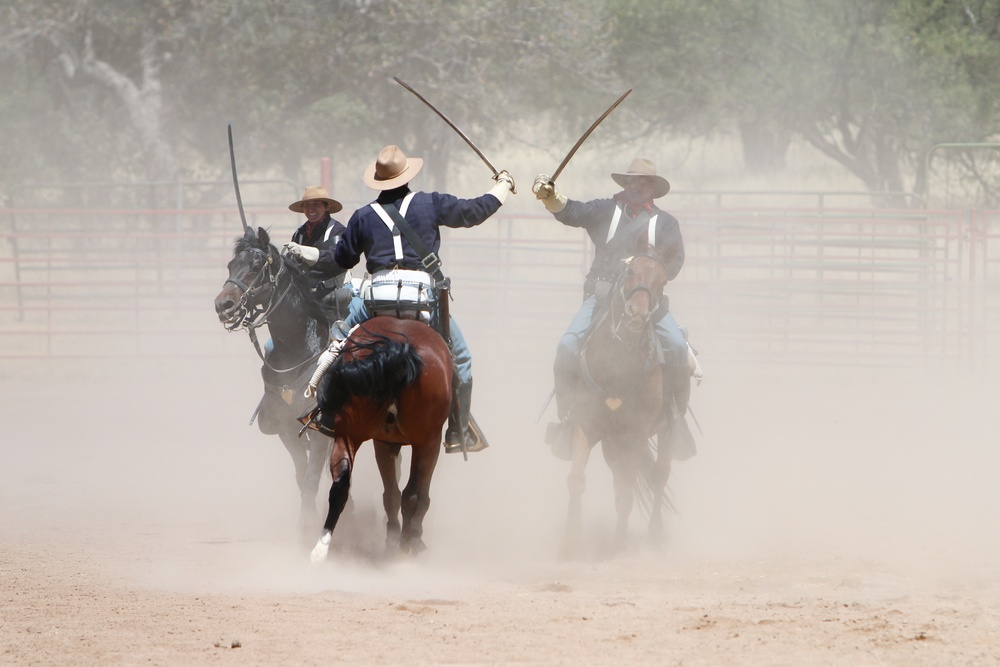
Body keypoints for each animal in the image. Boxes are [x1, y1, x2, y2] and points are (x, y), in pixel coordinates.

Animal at [213, 227, 338, 536]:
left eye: (256, 266)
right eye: (231, 265)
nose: (223, 305)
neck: (300, 351)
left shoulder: (320, 431)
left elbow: (312, 479)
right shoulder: (286, 430)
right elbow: (302, 477)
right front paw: (306, 523)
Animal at [304, 316, 454, 560]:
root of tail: (398, 351)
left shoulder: (382, 442)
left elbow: (390, 494)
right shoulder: (429, 443)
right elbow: (416, 496)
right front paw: (410, 539)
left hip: (348, 433)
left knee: (340, 487)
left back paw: (320, 550)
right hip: (425, 441)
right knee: (411, 495)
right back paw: (403, 550)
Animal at [568, 237, 676, 556]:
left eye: (663, 280)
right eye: (630, 272)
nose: (636, 315)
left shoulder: (636, 434)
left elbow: (627, 491)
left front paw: (618, 545)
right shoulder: (585, 423)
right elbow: (576, 479)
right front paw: (571, 542)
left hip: (666, 430)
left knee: (659, 474)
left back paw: (655, 535)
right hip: (611, 443)